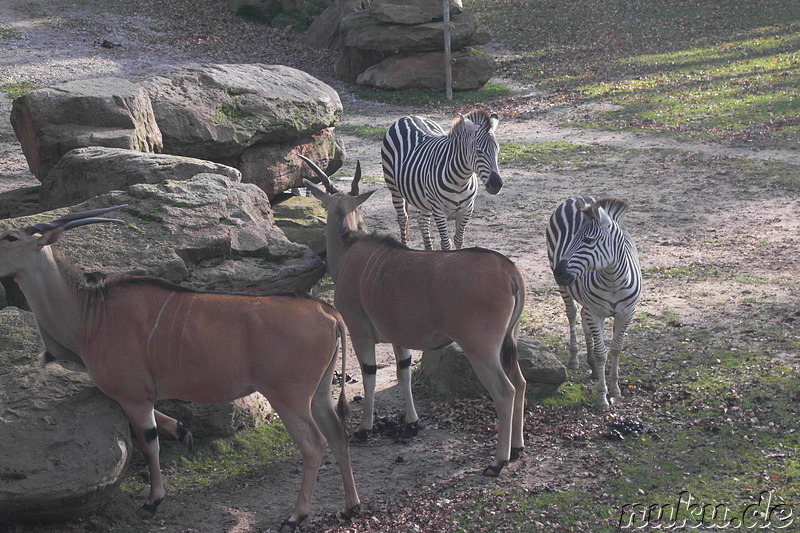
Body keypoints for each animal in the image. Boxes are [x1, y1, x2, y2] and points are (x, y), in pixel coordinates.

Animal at [0, 206, 360, 528]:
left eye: (10, 236)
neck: (90, 316)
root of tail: (328, 313)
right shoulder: (141, 395)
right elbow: (162, 425)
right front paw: (183, 431)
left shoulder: (132, 397)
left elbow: (149, 443)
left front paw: (153, 501)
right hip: (319, 393)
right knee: (338, 435)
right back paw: (350, 508)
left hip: (289, 398)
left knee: (314, 445)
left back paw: (296, 516)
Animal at [304, 156, 528, 476]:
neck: (351, 248)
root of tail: (510, 271)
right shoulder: (400, 337)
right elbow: (404, 372)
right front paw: (412, 423)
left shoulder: (360, 332)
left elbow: (370, 375)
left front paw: (364, 429)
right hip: (509, 342)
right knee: (520, 383)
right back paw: (518, 448)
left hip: (482, 349)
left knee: (505, 391)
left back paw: (497, 462)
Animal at [380, 109, 500, 250]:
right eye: (479, 152)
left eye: (497, 150)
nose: (496, 184)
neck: (461, 181)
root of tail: (407, 117)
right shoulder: (438, 210)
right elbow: (446, 243)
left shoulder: (467, 209)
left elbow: (458, 239)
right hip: (394, 187)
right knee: (403, 218)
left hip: (423, 198)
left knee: (422, 221)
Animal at [548, 197, 640, 410]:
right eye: (573, 238)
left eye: (589, 241)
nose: (558, 273)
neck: (613, 280)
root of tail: (575, 198)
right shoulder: (596, 312)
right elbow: (601, 353)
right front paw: (602, 398)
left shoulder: (626, 313)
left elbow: (615, 349)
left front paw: (615, 390)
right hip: (567, 290)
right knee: (573, 314)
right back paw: (575, 359)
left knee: (583, 318)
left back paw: (593, 367)